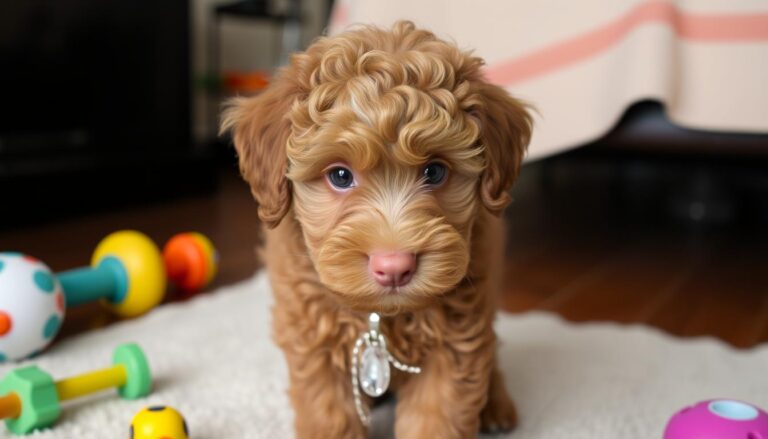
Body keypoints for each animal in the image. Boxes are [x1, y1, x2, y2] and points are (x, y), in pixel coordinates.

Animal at [224, 20, 528, 439]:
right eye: (339, 175)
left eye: (435, 171)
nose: (394, 266)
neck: (379, 318)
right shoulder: (312, 338)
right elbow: (329, 415)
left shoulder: (455, 340)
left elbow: (438, 415)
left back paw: (497, 406)